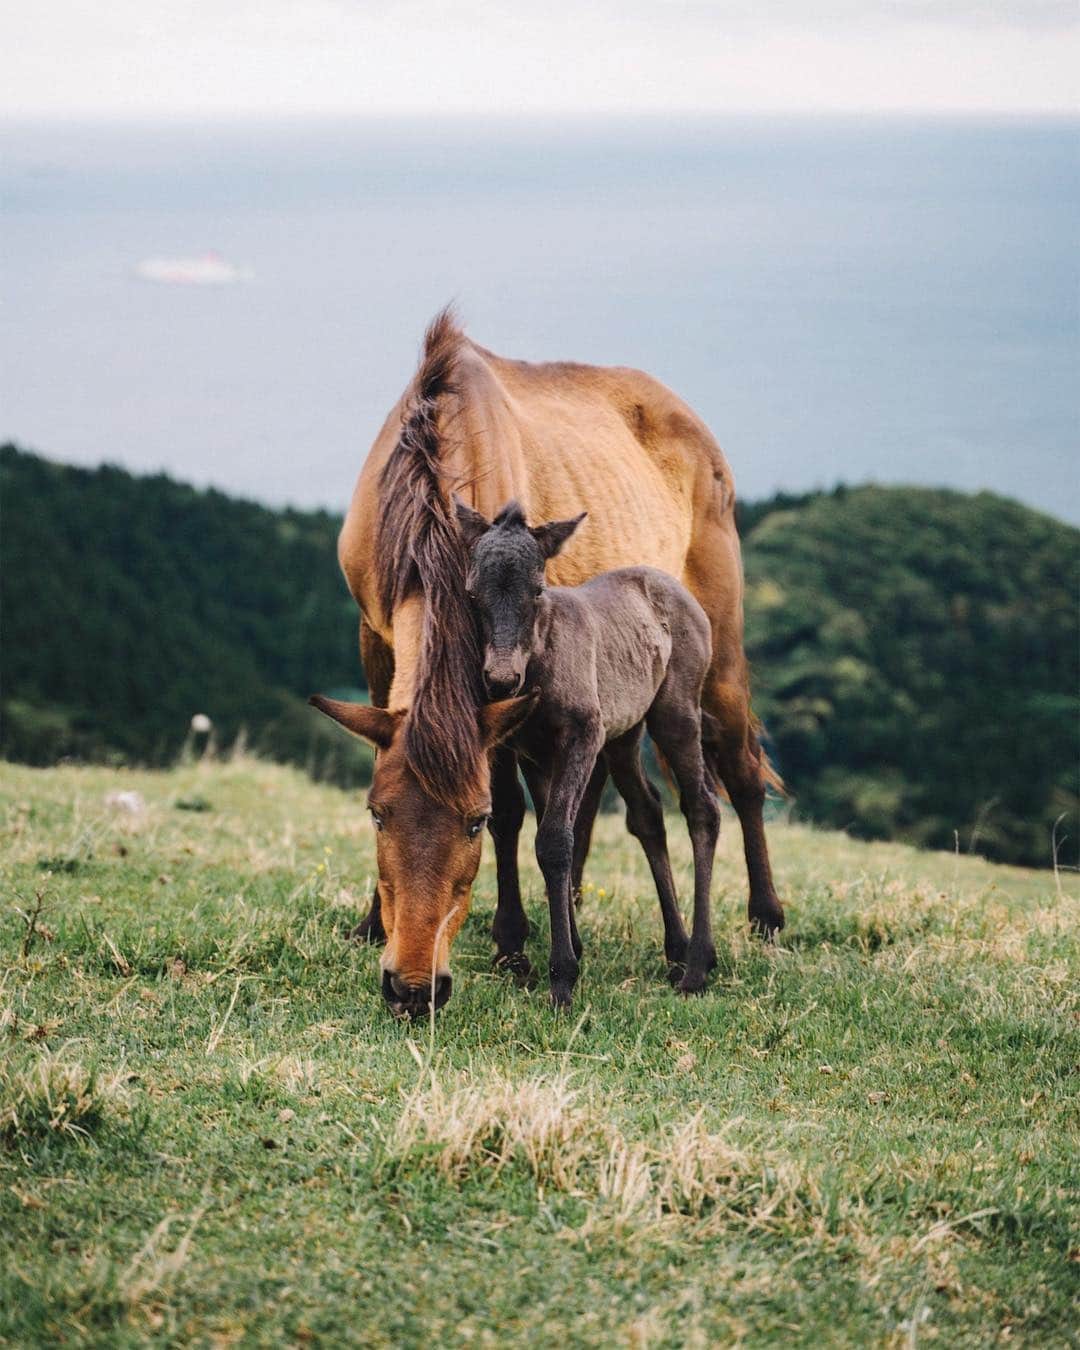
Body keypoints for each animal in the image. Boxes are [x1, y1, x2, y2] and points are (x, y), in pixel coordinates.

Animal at [456, 498, 721, 1007]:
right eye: (473, 593)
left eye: (537, 591)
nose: (501, 680)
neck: (541, 659)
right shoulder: (519, 749)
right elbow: (521, 823)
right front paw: (559, 948)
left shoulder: (583, 734)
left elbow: (557, 839)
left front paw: (563, 976)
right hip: (624, 735)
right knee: (648, 812)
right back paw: (676, 950)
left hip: (676, 713)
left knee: (702, 809)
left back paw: (699, 964)